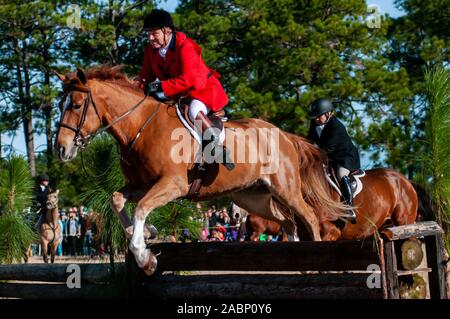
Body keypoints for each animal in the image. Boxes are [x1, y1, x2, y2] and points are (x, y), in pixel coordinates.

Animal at [53, 65, 348, 276]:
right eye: (60, 105)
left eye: (76, 105)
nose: (61, 149)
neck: (141, 128)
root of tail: (284, 135)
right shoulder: (141, 185)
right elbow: (117, 200)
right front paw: (148, 233)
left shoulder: (171, 185)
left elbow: (141, 208)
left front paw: (145, 258)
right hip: (253, 197)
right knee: (287, 222)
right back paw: (299, 264)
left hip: (286, 189)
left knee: (309, 218)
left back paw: (318, 263)